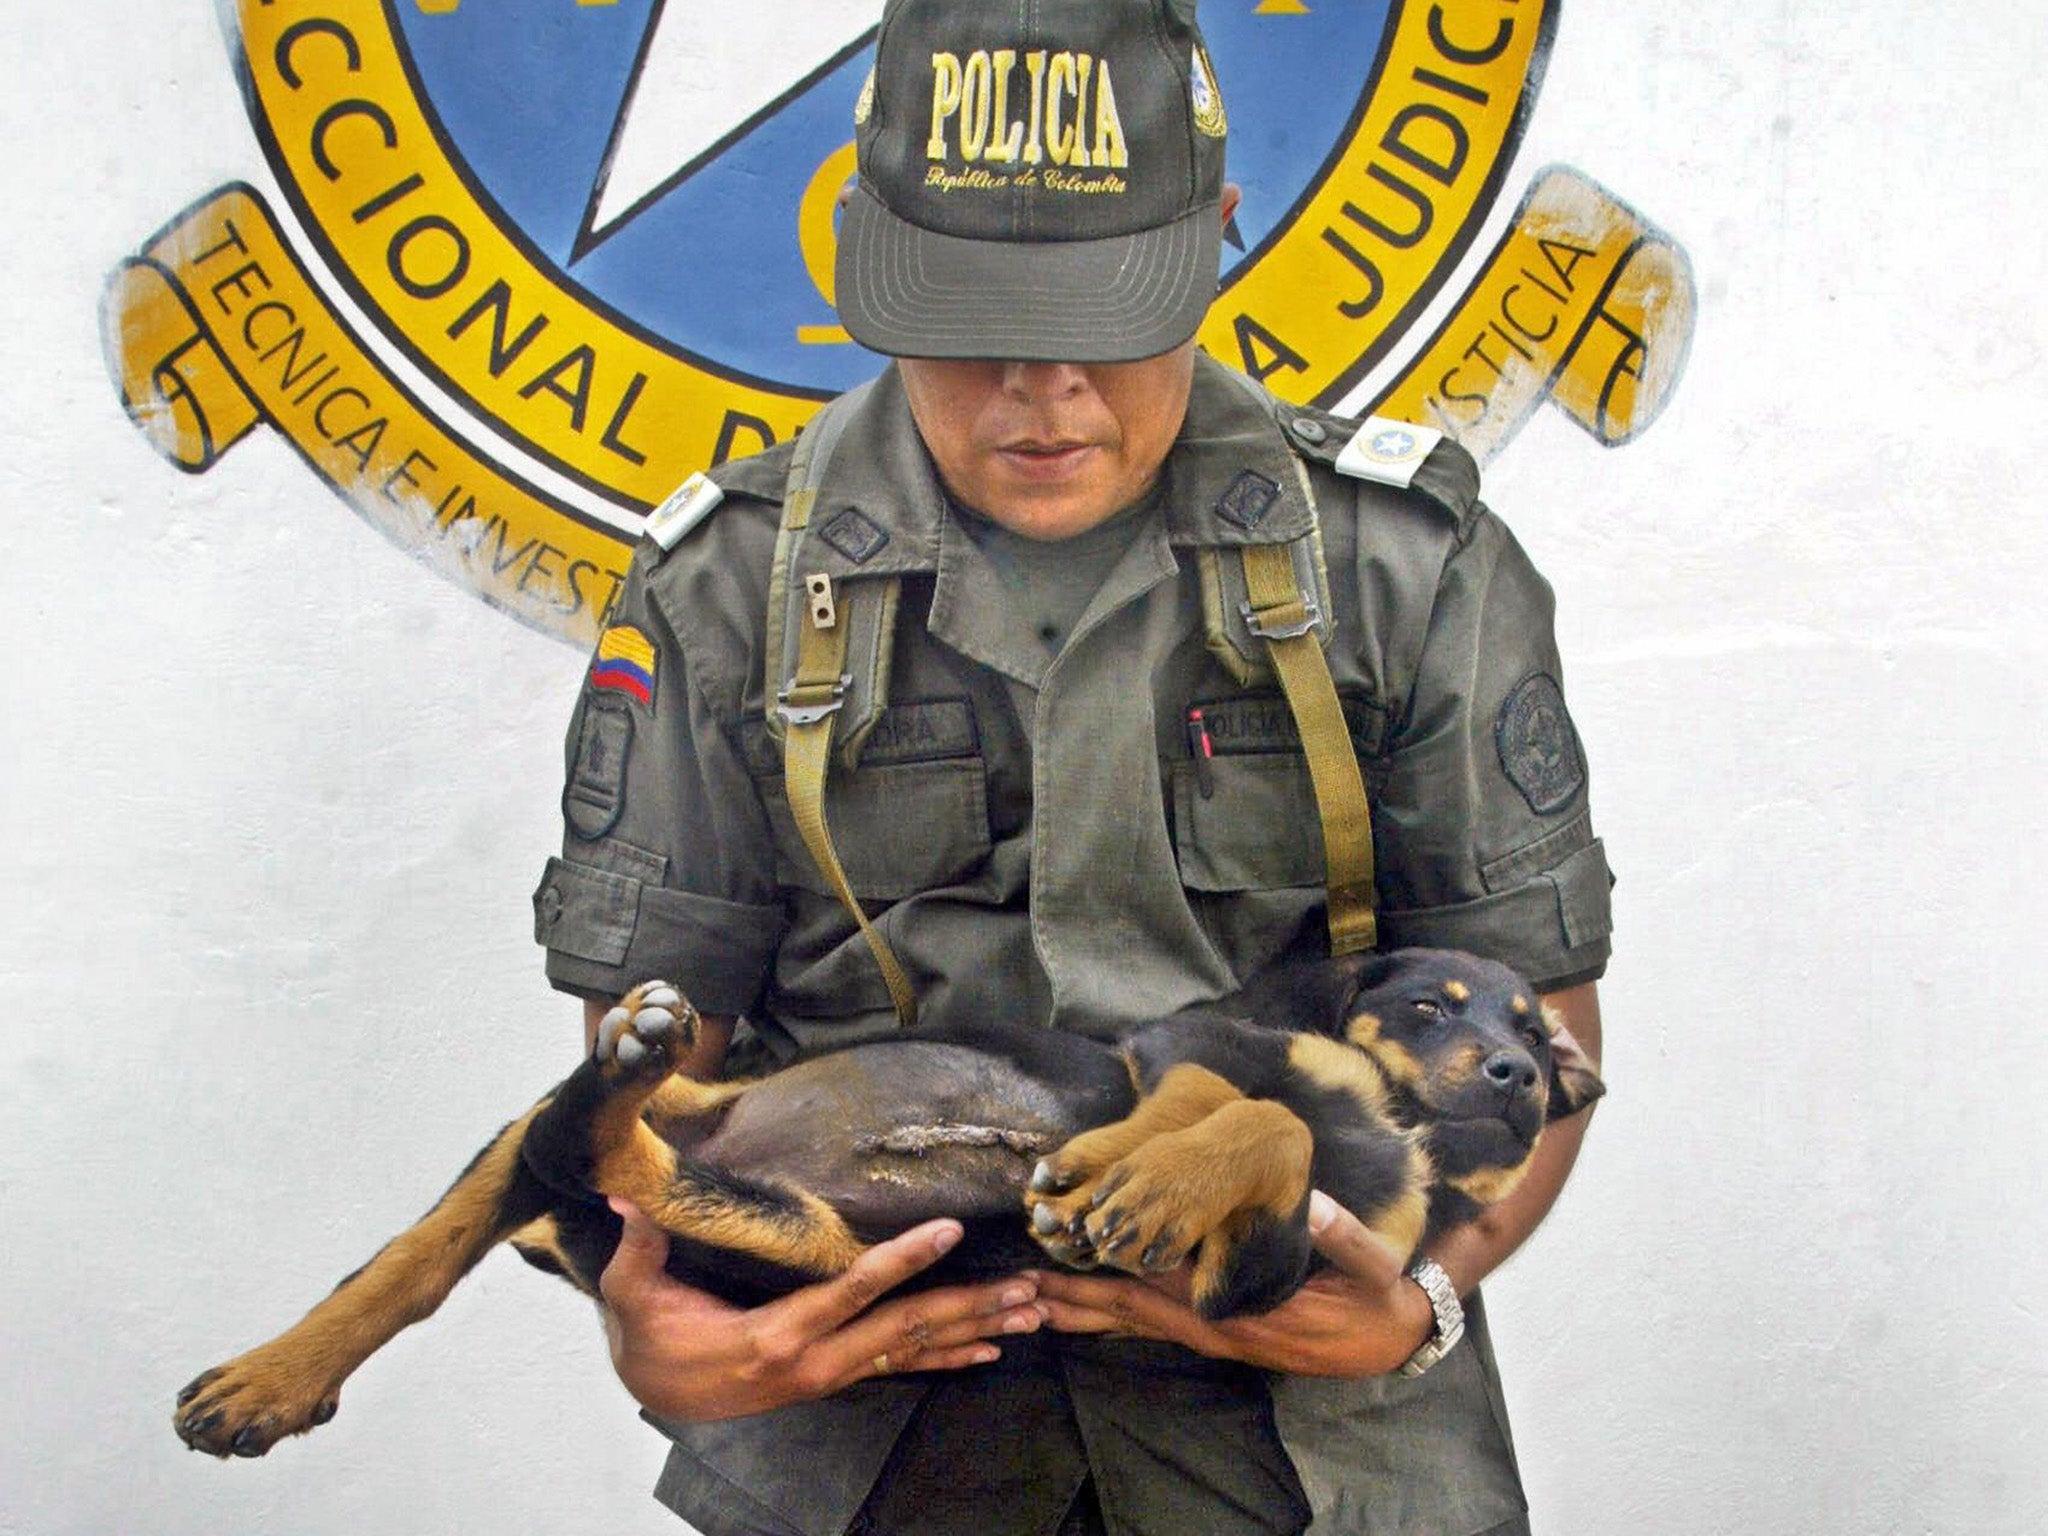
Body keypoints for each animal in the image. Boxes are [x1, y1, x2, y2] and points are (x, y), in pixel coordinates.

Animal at [176, 946, 1597, 1458]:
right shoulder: (1182, 1045)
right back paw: (268, 1379)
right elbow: (1253, 1107)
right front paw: (1128, 1171)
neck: (1400, 1129)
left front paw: (1132, 1191)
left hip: (814, 1242)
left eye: (1533, 1027)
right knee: (439, 1233)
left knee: (592, 1168)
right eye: (1433, 1008)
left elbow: (1275, 1141)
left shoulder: (1257, 1277)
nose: (1523, 1075)